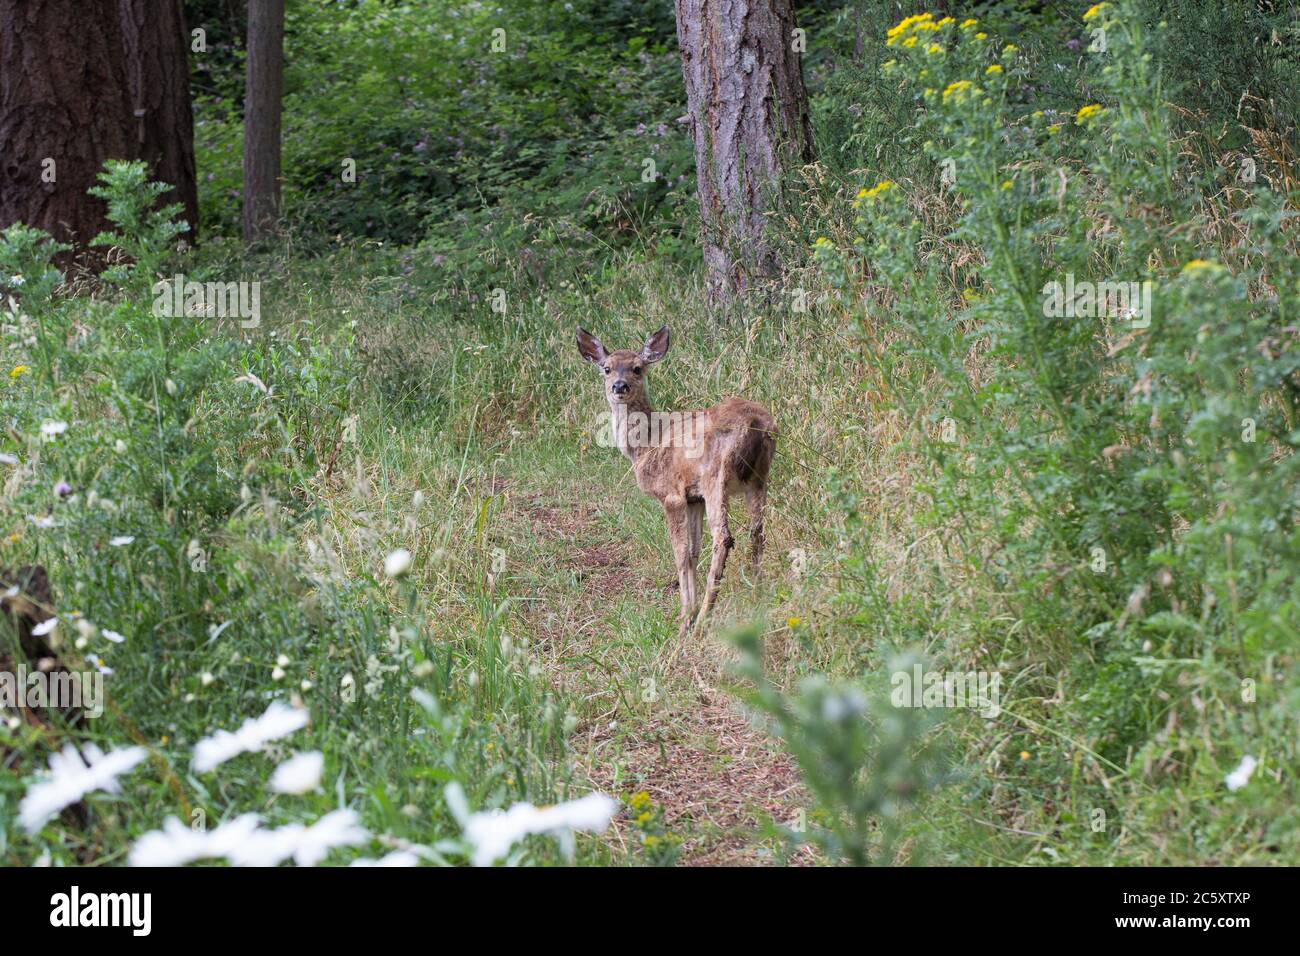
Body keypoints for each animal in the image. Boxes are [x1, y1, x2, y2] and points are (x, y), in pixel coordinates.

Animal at [577, 325, 774, 639]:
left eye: (637, 368)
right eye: (606, 368)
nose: (619, 387)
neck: (646, 446)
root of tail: (757, 425)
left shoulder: (672, 495)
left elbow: (680, 553)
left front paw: (684, 619)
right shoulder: (694, 498)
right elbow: (693, 552)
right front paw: (688, 612)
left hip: (716, 475)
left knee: (724, 536)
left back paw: (705, 618)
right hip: (758, 476)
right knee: (757, 531)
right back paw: (757, 595)